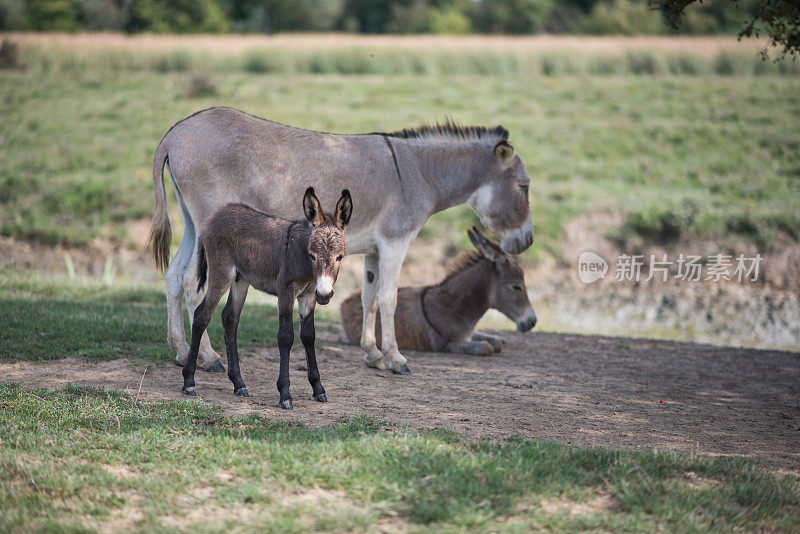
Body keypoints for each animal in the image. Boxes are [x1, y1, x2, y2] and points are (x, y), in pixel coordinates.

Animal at [186, 188, 354, 410]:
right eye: (312, 255)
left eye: (339, 257)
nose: (325, 294)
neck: (301, 257)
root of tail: (216, 214)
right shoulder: (286, 292)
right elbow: (286, 336)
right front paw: (285, 394)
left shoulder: (309, 296)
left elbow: (308, 336)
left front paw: (318, 389)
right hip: (221, 276)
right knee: (201, 316)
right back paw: (188, 382)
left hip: (241, 280)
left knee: (230, 319)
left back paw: (239, 384)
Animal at [340, 229, 536, 358]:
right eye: (516, 287)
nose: (532, 321)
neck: (454, 308)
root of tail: (345, 301)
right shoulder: (449, 344)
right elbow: (486, 347)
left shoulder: (469, 333)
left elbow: (496, 342)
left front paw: (496, 339)